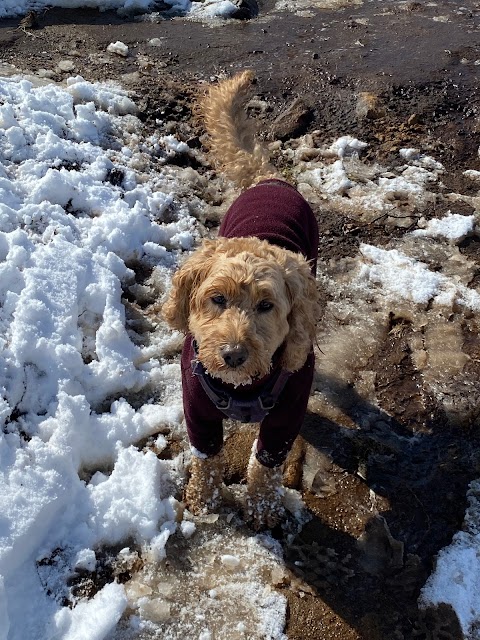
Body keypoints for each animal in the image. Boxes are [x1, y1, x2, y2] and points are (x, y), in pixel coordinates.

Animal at [163, 71, 320, 528]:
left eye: (267, 306)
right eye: (216, 298)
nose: (232, 354)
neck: (244, 388)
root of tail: (271, 178)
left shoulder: (287, 410)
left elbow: (267, 463)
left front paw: (263, 508)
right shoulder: (197, 403)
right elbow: (206, 456)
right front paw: (205, 500)